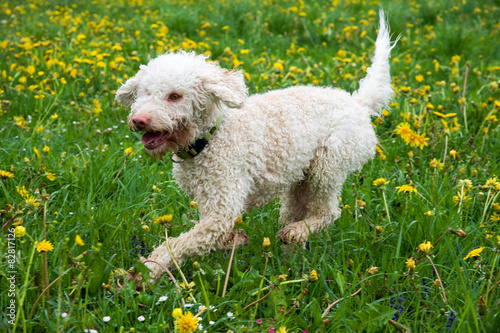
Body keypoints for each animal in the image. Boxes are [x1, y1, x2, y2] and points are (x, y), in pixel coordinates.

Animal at [115, 11, 396, 278]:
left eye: (175, 96)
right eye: (144, 93)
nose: (139, 120)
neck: (211, 137)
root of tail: (357, 103)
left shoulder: (221, 210)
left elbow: (176, 244)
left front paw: (148, 271)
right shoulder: (212, 206)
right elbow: (209, 237)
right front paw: (235, 241)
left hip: (327, 166)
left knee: (329, 212)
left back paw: (297, 232)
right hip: (299, 181)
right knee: (298, 212)